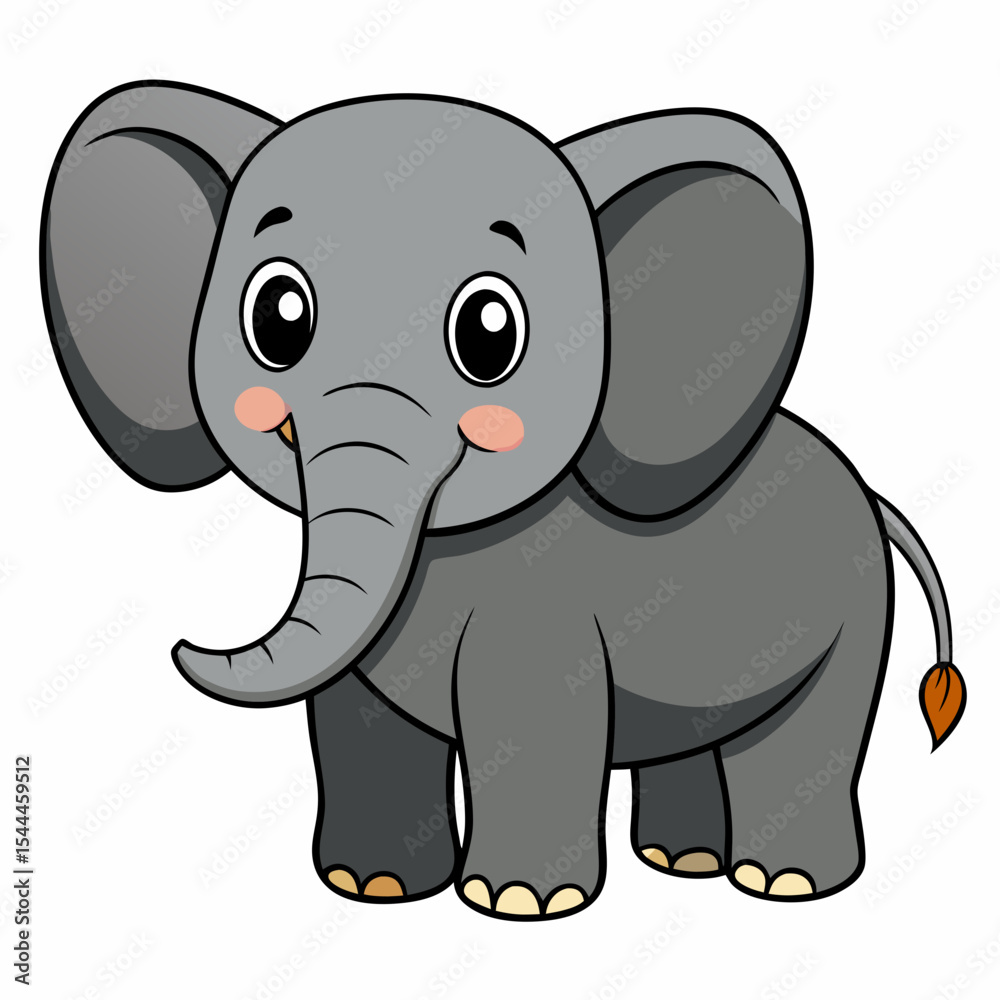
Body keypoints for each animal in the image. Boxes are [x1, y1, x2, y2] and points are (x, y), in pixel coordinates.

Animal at [41, 81, 967, 921]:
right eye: (278, 316)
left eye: (490, 332)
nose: (184, 646)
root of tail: (870, 494)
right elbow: (357, 719)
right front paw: (371, 888)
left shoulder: (541, 612)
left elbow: (529, 717)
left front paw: (520, 904)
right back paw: (684, 861)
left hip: (854, 608)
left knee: (805, 736)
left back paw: (784, 884)